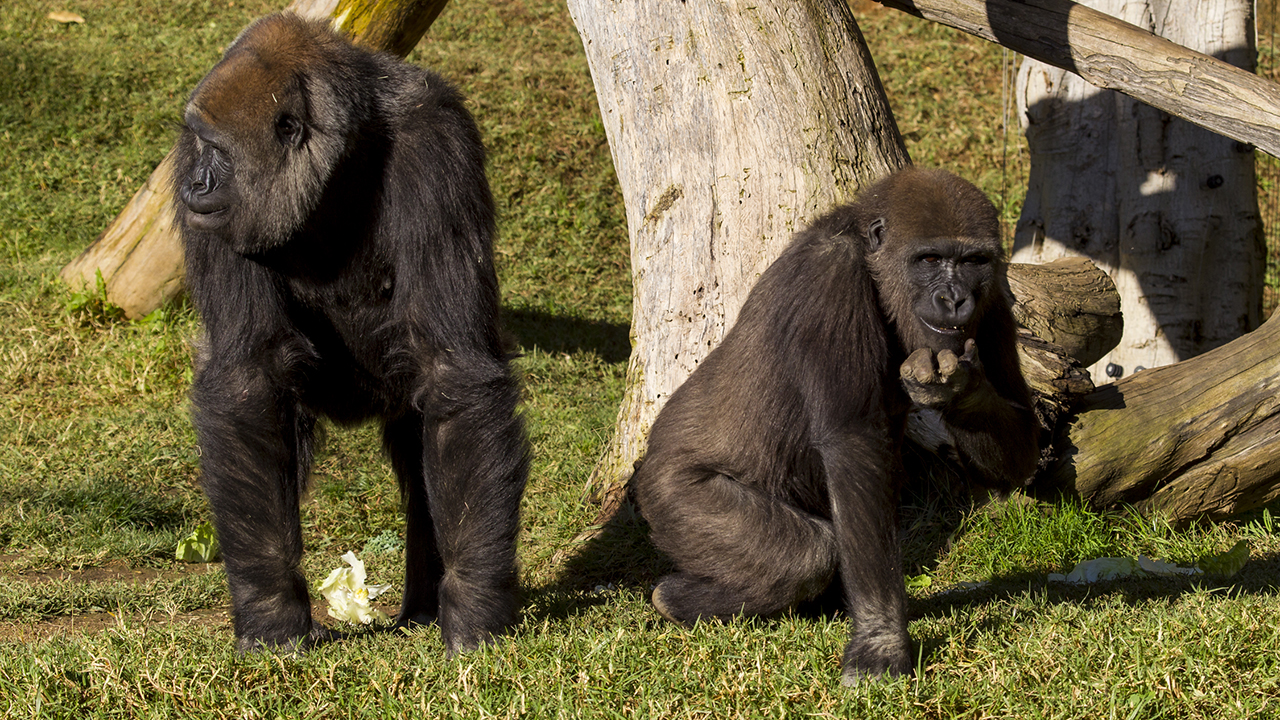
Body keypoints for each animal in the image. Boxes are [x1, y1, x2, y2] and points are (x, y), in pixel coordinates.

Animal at [172, 12, 527, 650]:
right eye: (200, 145)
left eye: (219, 152)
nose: (194, 184)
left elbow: (452, 369)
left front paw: (475, 605)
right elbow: (248, 378)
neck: (336, 162)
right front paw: (269, 612)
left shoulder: (438, 148)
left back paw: (427, 605)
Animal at [629, 165, 1039, 681]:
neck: (871, 258)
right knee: (807, 557)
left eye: (973, 261)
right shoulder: (830, 275)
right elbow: (852, 443)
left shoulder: (995, 297)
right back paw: (674, 598)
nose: (954, 299)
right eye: (929, 259)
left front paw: (963, 388)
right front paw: (881, 637)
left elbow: (1023, 444)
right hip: (669, 496)